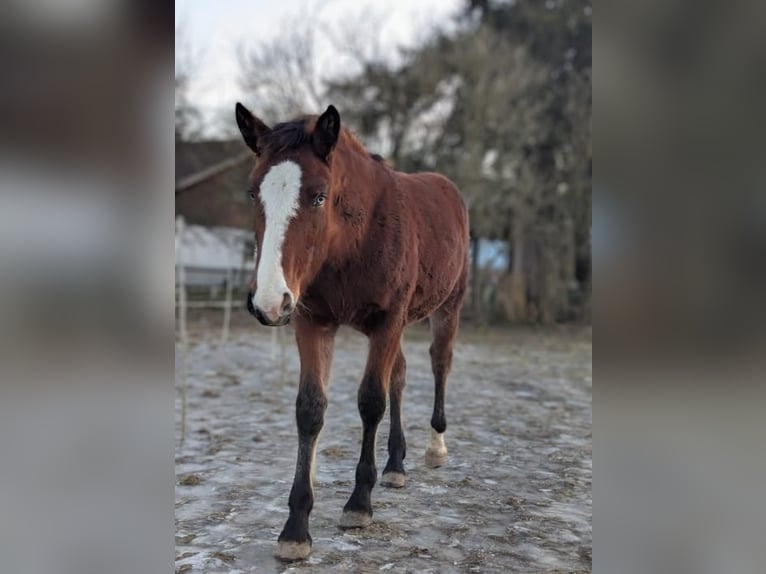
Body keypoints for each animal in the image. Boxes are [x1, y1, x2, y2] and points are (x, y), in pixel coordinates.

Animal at [237, 103, 472, 564]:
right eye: (253, 193)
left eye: (318, 196)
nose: (268, 302)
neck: (354, 238)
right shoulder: (312, 321)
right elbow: (310, 409)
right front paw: (296, 527)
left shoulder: (387, 321)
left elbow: (370, 402)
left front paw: (359, 502)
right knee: (400, 374)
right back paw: (396, 466)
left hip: (445, 308)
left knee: (440, 362)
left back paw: (435, 446)